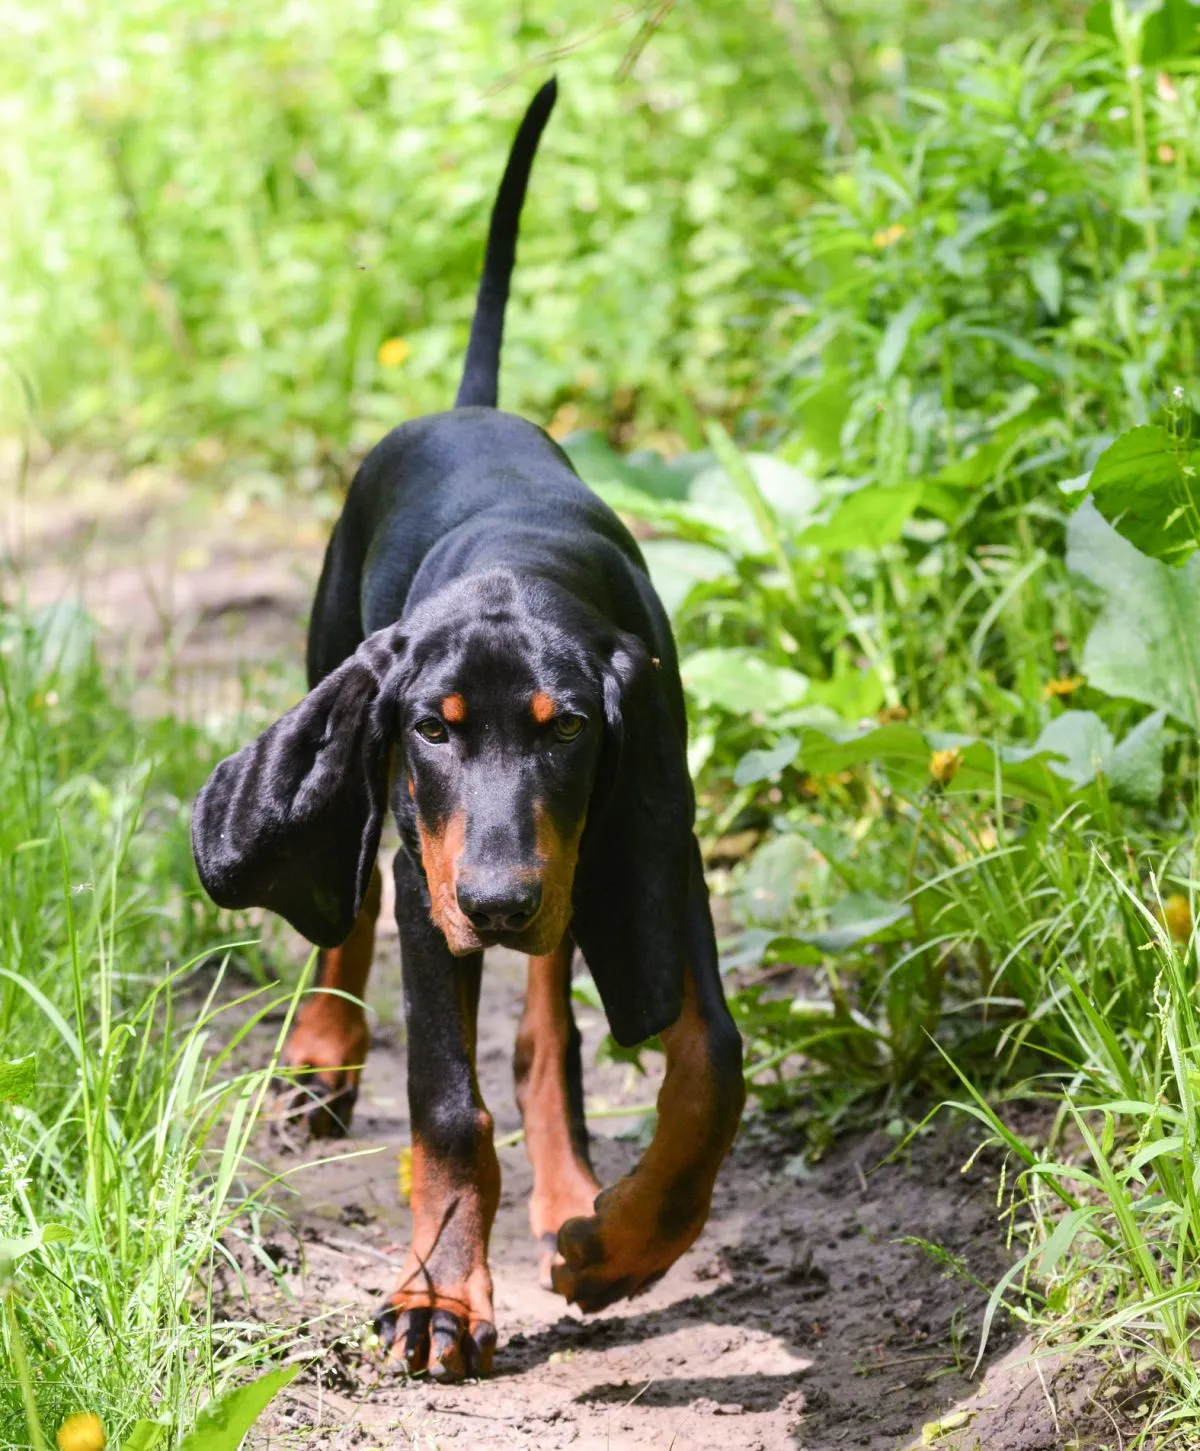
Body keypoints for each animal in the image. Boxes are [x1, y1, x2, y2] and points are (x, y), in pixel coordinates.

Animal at [190, 82, 742, 1381]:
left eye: (568, 727)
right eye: (433, 731)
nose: (493, 901)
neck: (518, 562)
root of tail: (468, 408)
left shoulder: (650, 833)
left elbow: (709, 1063)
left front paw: (622, 1241)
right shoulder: (424, 856)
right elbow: (445, 1100)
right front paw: (440, 1293)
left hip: (566, 860)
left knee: (544, 1017)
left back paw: (571, 1185)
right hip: (352, 707)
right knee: (342, 904)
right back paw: (324, 1057)